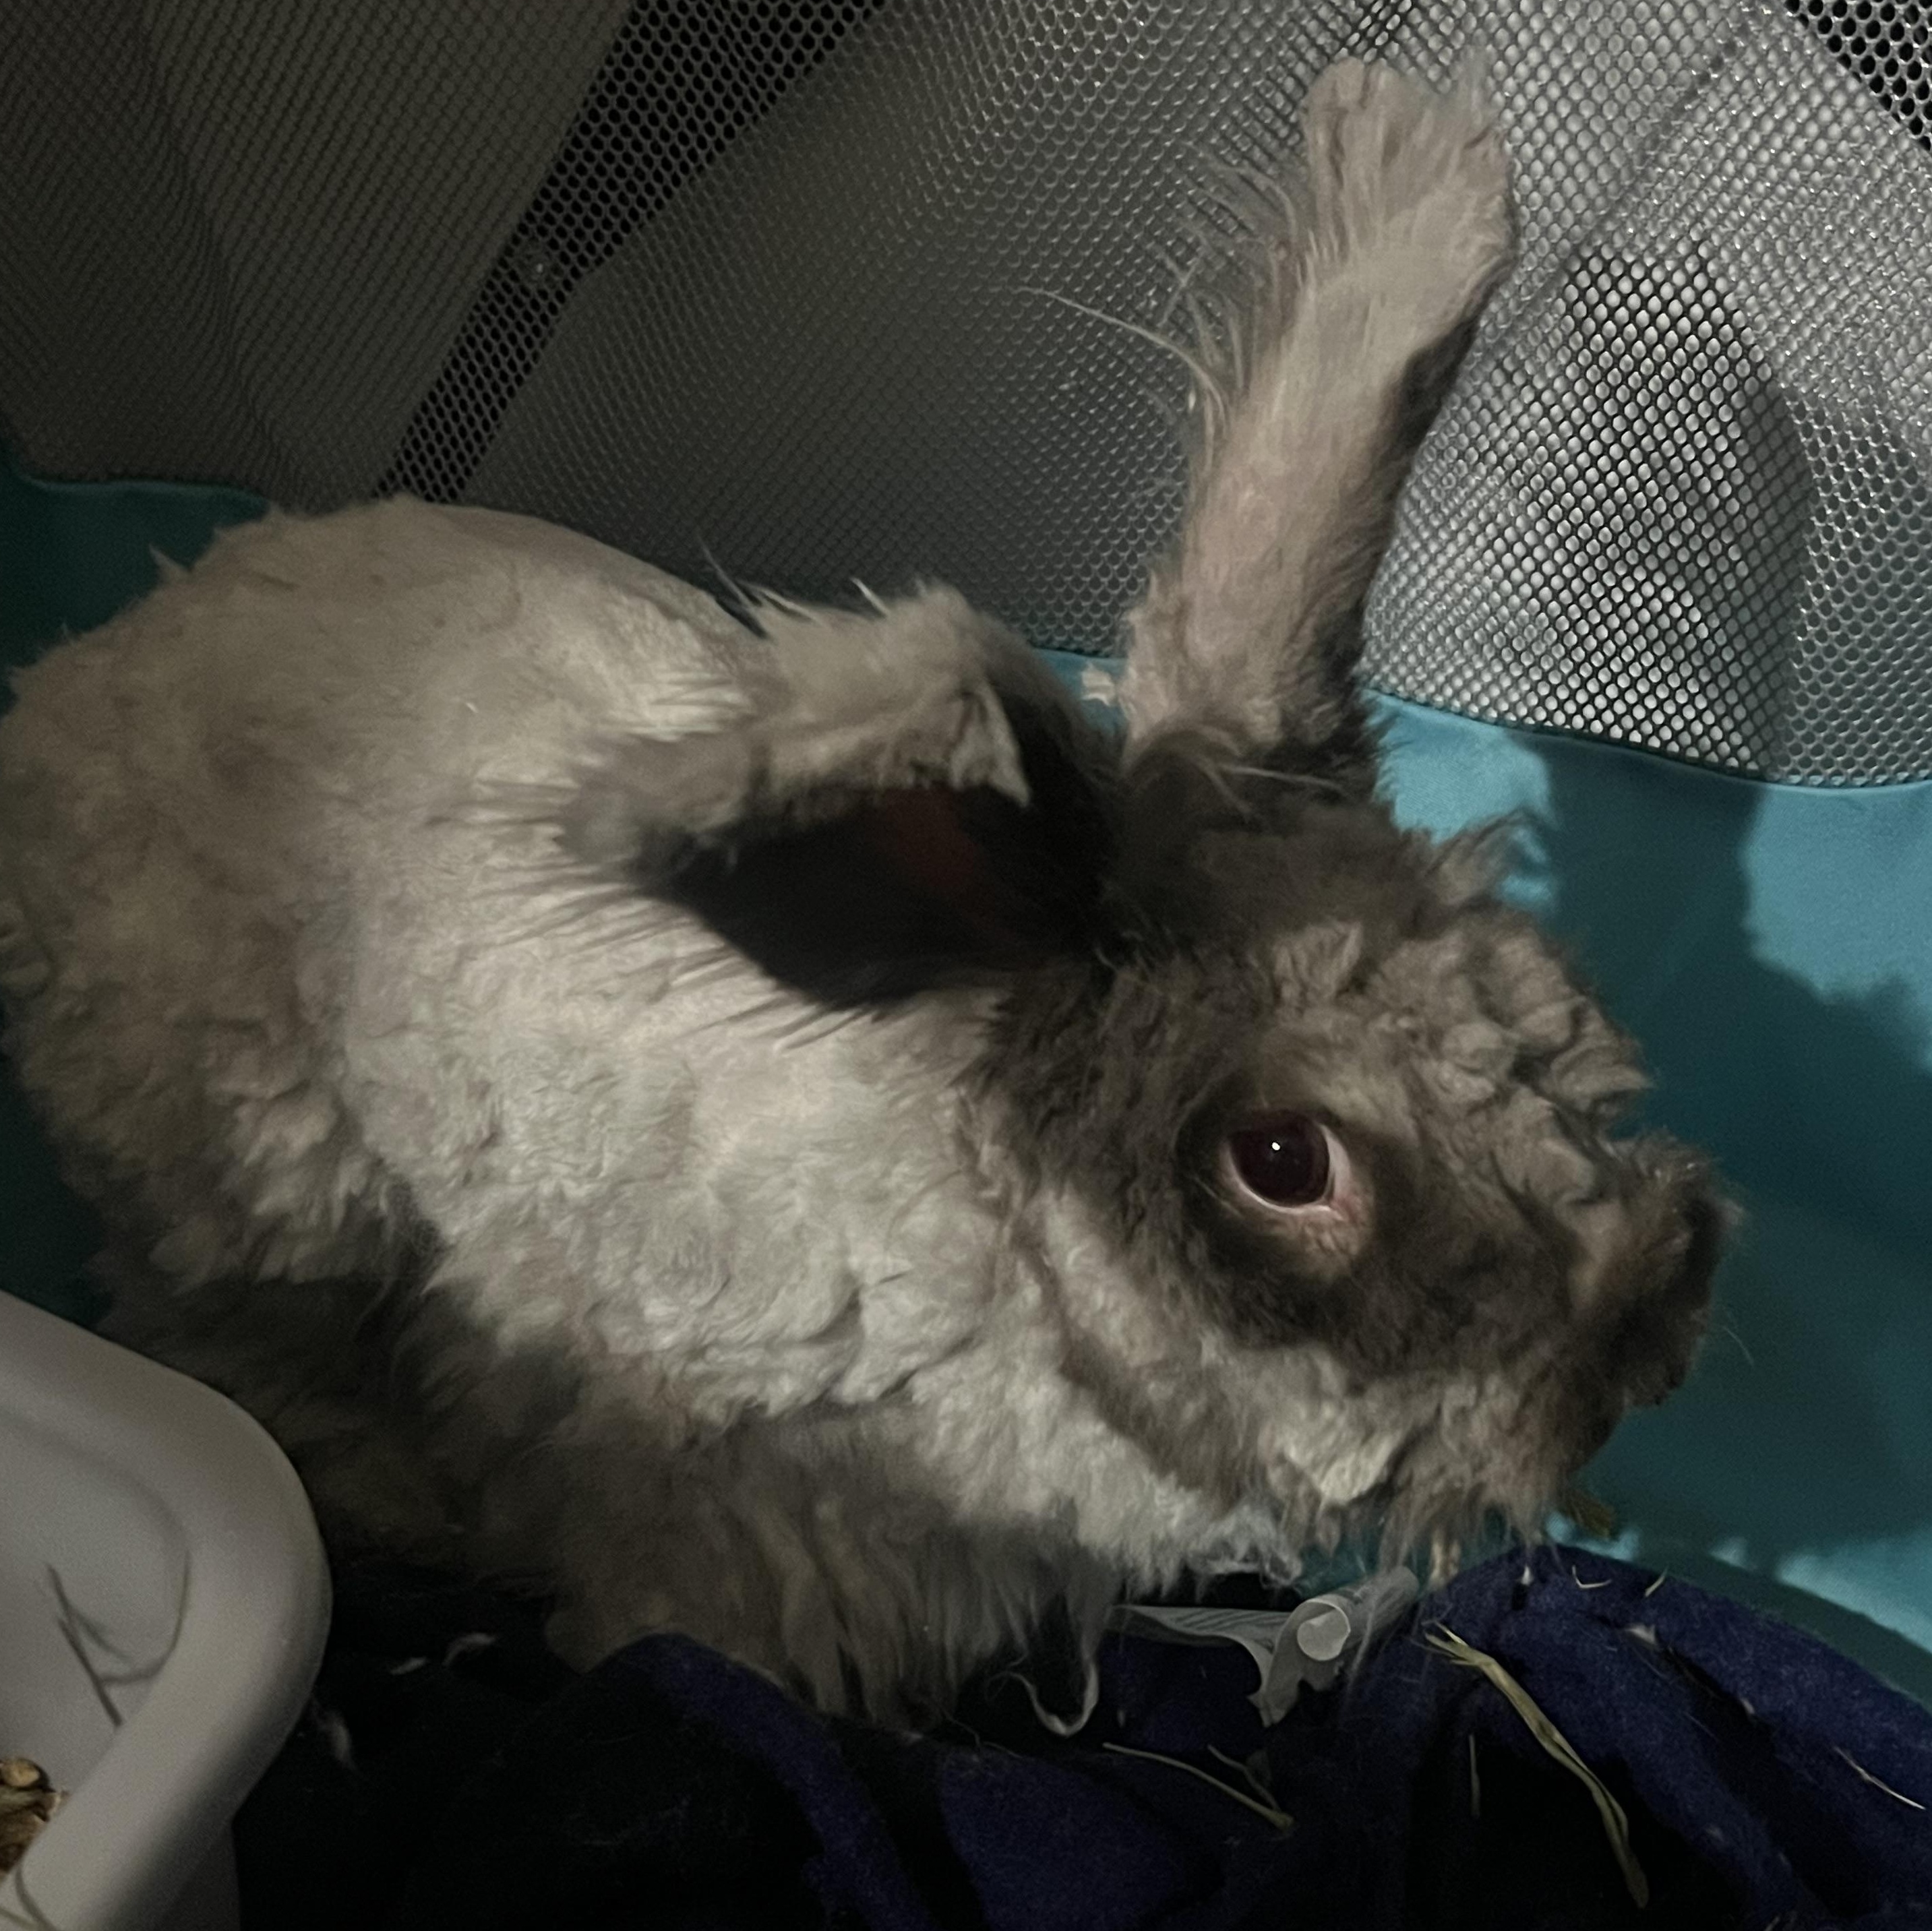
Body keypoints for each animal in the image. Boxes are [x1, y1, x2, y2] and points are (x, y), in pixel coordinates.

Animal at [0, 59, 1722, 1722]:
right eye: (1282, 1160)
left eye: (1553, 999)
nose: (1646, 1323)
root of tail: (80, 670)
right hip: (260, 1175)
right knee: (206, 1322)